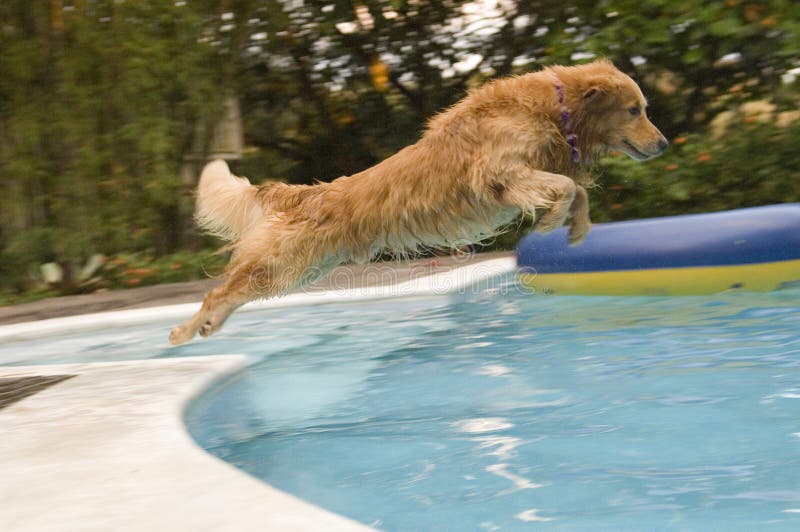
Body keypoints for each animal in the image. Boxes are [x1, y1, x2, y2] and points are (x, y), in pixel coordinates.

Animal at [169, 59, 668, 344]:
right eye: (635, 110)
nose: (663, 144)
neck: (557, 108)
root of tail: (312, 191)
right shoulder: (500, 175)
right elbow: (565, 186)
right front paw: (550, 223)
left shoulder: (519, 178)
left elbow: (575, 188)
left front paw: (577, 228)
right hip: (282, 264)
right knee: (219, 291)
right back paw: (184, 331)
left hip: (300, 270)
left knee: (235, 293)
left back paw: (208, 327)